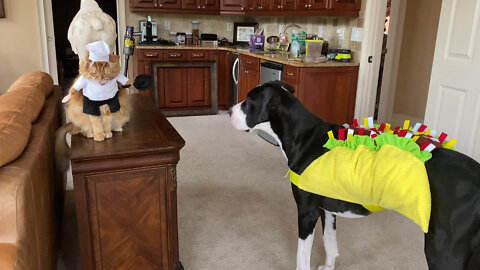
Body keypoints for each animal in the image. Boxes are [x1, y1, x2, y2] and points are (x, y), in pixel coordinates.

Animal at [229, 80, 480, 270]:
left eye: (250, 99)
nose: (230, 110)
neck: (303, 136)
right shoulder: (327, 211)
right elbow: (330, 245)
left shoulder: (307, 213)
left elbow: (302, 257)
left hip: (444, 249)